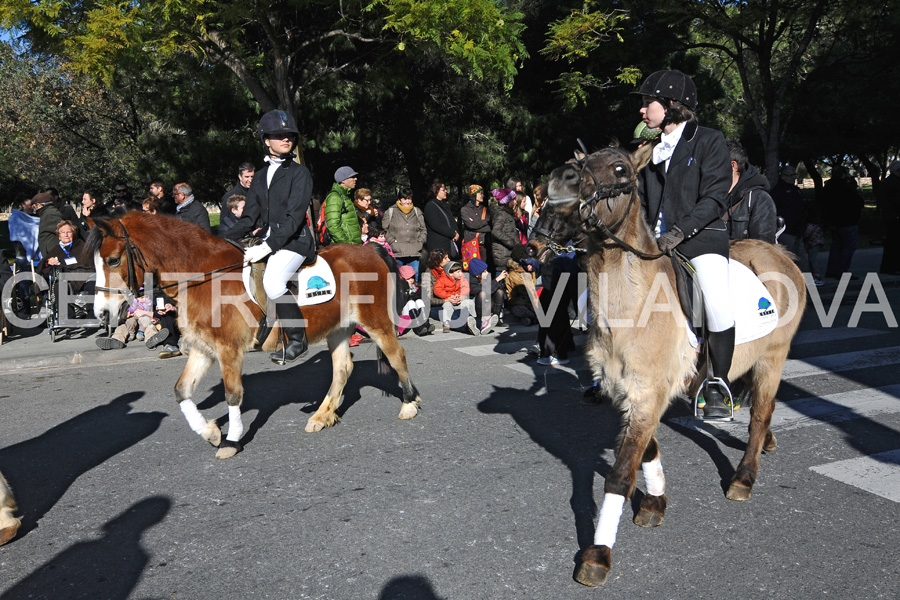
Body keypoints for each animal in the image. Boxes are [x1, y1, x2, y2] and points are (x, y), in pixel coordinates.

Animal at [87, 214, 422, 460]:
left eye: (113, 260)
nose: (102, 313)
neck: (203, 277)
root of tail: (369, 249)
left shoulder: (228, 350)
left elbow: (233, 394)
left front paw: (231, 440)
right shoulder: (202, 349)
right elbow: (182, 390)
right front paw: (210, 432)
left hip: (375, 321)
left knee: (396, 355)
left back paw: (409, 404)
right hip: (338, 329)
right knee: (342, 368)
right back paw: (322, 416)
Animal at [528, 144, 808, 584]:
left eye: (619, 168)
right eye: (580, 159)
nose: (559, 180)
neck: (632, 305)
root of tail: (779, 253)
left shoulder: (647, 392)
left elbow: (621, 473)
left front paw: (598, 554)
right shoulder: (629, 393)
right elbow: (646, 450)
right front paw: (654, 503)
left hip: (773, 357)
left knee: (761, 411)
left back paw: (744, 476)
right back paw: (765, 442)